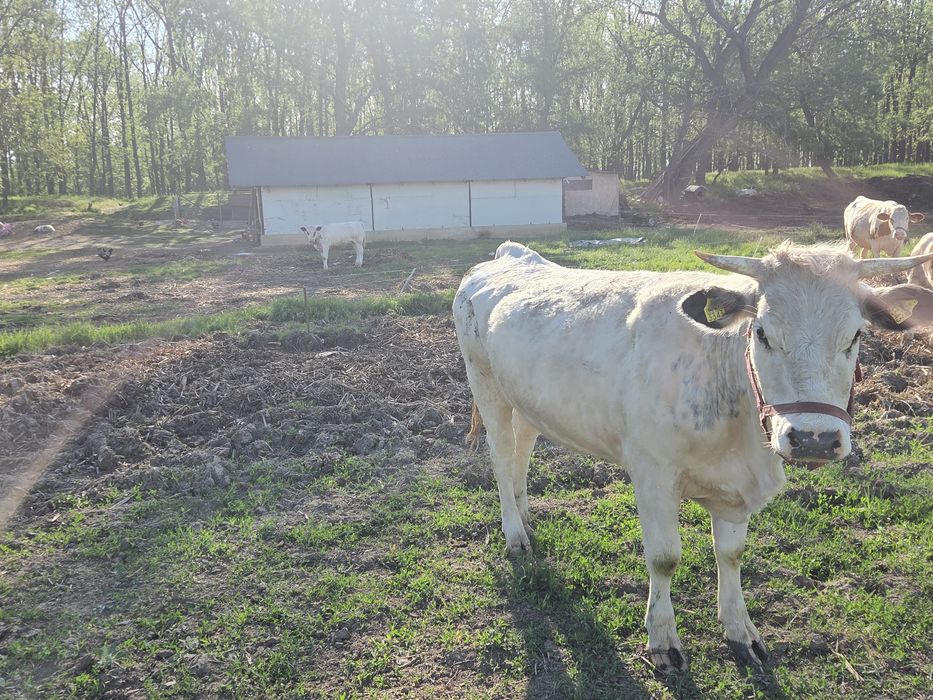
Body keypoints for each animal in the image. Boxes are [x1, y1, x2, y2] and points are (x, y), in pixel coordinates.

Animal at [453, 240, 933, 672]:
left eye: (856, 335)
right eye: (762, 333)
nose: (814, 438)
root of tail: (510, 254)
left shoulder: (736, 490)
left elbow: (731, 554)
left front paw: (741, 631)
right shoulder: (652, 475)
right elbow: (664, 558)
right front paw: (662, 640)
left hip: (527, 400)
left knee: (523, 450)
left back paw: (525, 515)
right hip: (485, 383)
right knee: (502, 457)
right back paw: (515, 532)